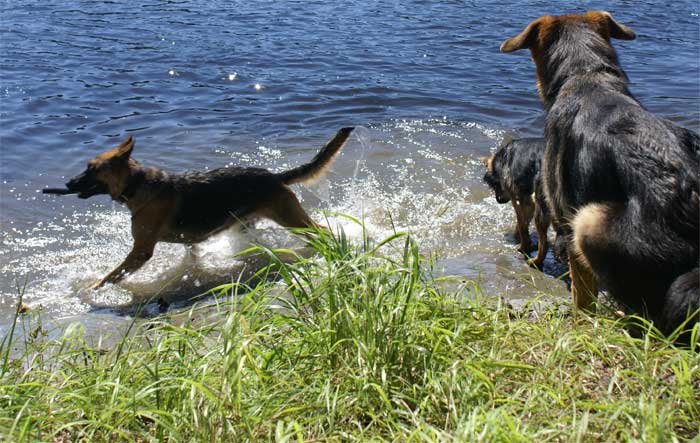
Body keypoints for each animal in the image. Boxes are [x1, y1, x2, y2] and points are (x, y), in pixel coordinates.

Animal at [51, 126, 352, 290]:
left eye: (91, 168)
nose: (67, 183)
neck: (137, 185)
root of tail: (275, 177)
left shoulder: (141, 251)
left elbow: (112, 276)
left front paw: (92, 290)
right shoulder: (188, 243)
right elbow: (192, 256)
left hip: (291, 218)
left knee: (322, 230)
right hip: (248, 224)